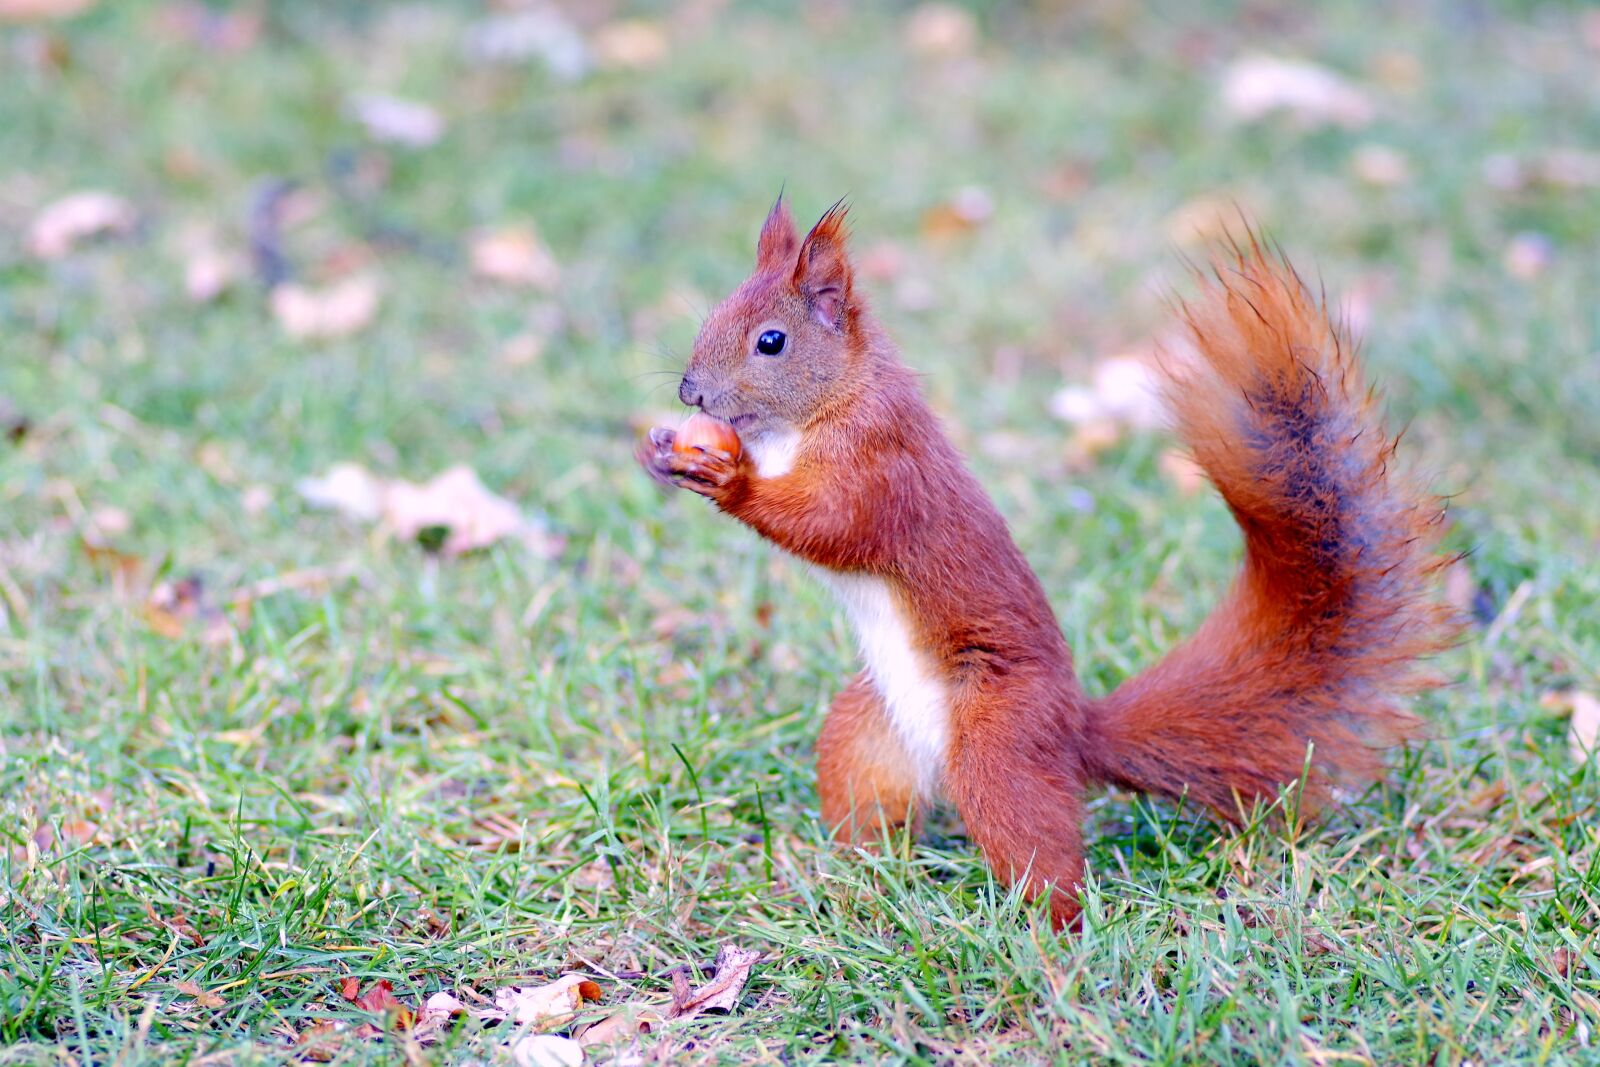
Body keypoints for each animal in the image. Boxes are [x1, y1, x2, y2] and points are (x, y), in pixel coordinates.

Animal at [637, 198, 1458, 929]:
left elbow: (830, 525)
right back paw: (848, 874)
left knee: (1042, 854)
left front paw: (731, 483)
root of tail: (1072, 729)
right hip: (864, 736)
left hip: (998, 744)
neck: (810, 415)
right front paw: (661, 452)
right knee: (871, 811)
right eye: (714, 314)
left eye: (771, 342)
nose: (689, 391)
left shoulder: (880, 468)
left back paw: (1047, 934)